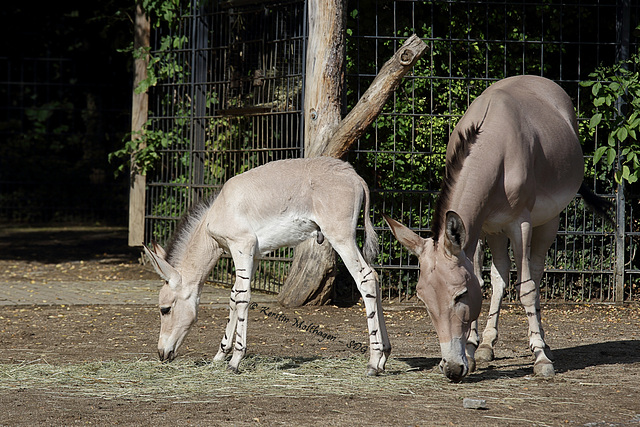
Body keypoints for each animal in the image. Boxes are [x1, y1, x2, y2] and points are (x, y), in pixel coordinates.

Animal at [144, 157, 390, 374]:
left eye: (164, 309)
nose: (161, 354)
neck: (220, 209)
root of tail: (353, 175)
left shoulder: (241, 246)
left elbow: (242, 297)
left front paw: (235, 360)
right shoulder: (253, 256)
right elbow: (234, 296)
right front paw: (220, 355)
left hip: (340, 238)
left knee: (366, 279)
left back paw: (373, 361)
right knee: (376, 278)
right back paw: (384, 356)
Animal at [384, 76, 592, 382]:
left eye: (459, 295)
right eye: (423, 299)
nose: (452, 369)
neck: (495, 144)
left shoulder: (520, 223)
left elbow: (526, 288)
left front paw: (541, 359)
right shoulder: (477, 226)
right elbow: (481, 281)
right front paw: (472, 350)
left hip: (548, 221)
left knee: (535, 273)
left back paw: (543, 344)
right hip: (495, 231)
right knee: (500, 275)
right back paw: (486, 345)